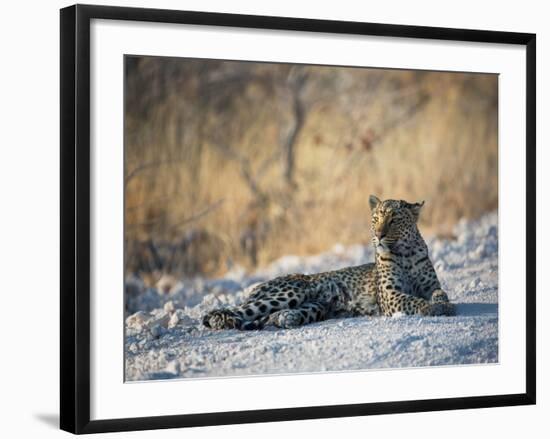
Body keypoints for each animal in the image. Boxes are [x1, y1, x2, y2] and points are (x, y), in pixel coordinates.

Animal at [203, 196, 458, 330]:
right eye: (375, 219)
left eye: (394, 220)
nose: (378, 235)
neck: (405, 252)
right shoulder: (390, 295)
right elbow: (413, 300)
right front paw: (432, 308)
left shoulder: (430, 285)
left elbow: (440, 293)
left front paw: (443, 304)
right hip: (289, 292)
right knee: (234, 311)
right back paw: (221, 320)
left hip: (315, 305)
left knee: (266, 317)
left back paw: (285, 318)